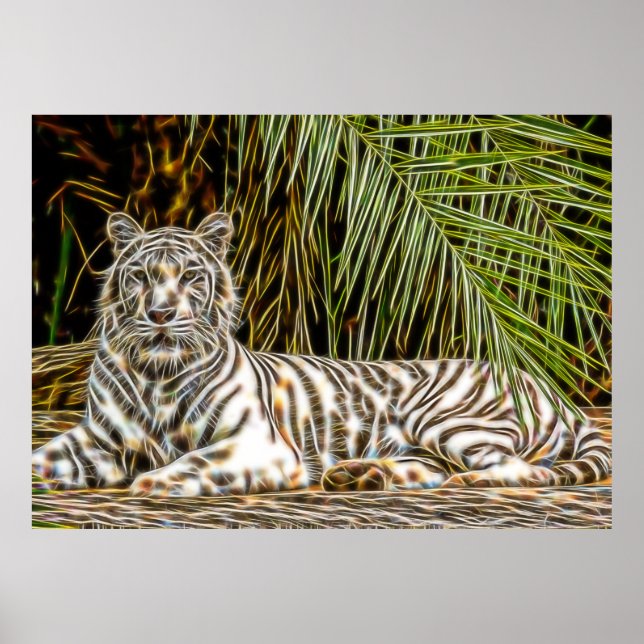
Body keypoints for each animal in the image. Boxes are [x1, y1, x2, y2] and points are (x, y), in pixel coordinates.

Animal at [31, 211, 611, 497]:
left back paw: (454, 481)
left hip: (449, 420)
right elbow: (42, 458)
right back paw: (361, 475)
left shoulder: (259, 444)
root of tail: (549, 387)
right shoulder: (99, 437)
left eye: (190, 276)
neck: (157, 370)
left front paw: (152, 482)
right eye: (141, 276)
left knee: (524, 470)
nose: (160, 314)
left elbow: (192, 460)